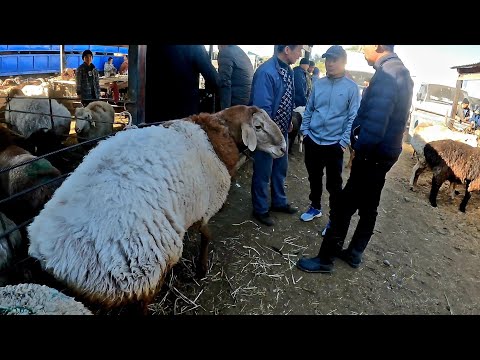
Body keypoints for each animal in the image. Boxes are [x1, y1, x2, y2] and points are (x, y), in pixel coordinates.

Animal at [28, 105, 286, 310]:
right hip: (142, 275)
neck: (214, 138)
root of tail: (57, 258)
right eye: (259, 126)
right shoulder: (205, 205)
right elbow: (206, 235)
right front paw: (201, 268)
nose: (283, 148)